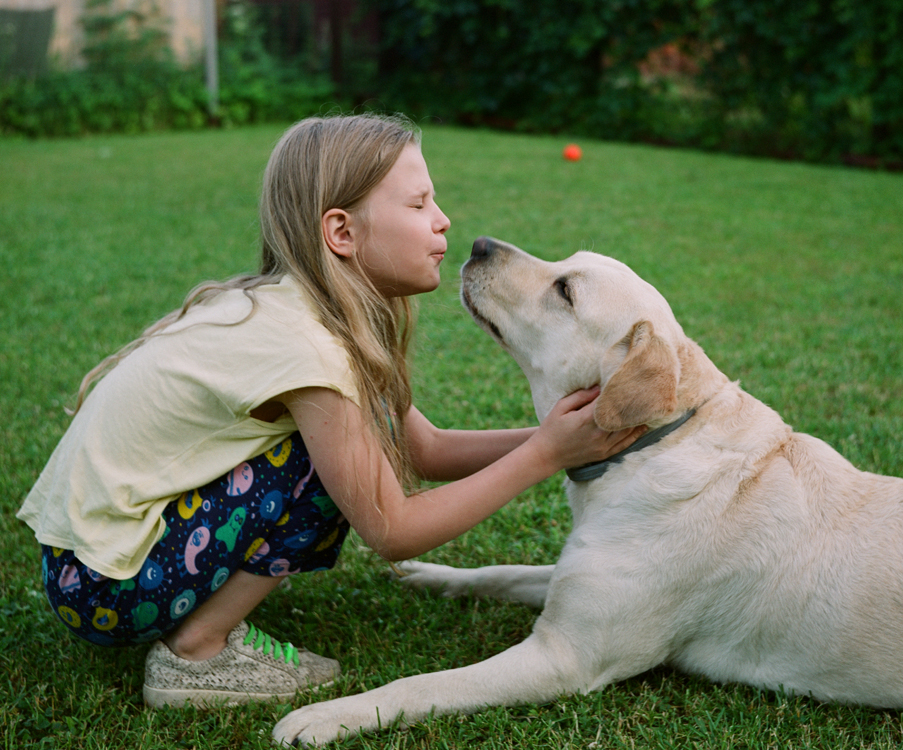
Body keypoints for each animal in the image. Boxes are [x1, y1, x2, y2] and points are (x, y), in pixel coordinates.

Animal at [274, 238, 903, 748]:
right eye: (566, 264)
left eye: (566, 290)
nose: (478, 243)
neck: (654, 442)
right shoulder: (570, 583)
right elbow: (499, 573)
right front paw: (434, 575)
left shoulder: (564, 658)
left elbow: (425, 684)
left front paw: (328, 716)